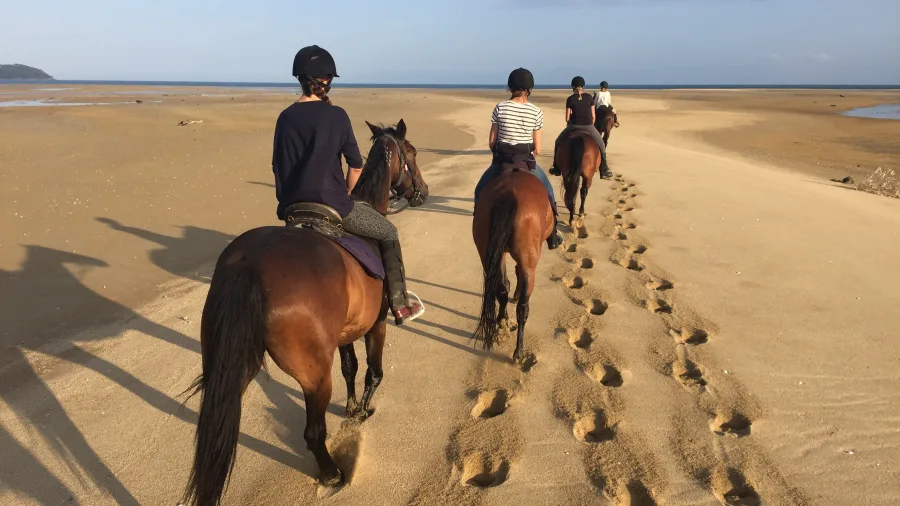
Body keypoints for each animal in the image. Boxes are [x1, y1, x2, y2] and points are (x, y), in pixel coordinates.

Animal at [182, 119, 429, 506]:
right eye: (413, 153)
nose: (424, 191)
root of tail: (250, 264)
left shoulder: (345, 333)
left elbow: (350, 368)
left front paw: (351, 407)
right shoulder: (375, 325)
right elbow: (373, 372)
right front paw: (362, 412)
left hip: (229, 365)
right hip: (313, 377)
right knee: (313, 432)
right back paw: (332, 474)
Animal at [472, 167, 556, 363]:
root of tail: (507, 194)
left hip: (489, 252)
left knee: (501, 289)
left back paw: (502, 320)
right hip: (529, 264)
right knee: (523, 308)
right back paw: (519, 352)